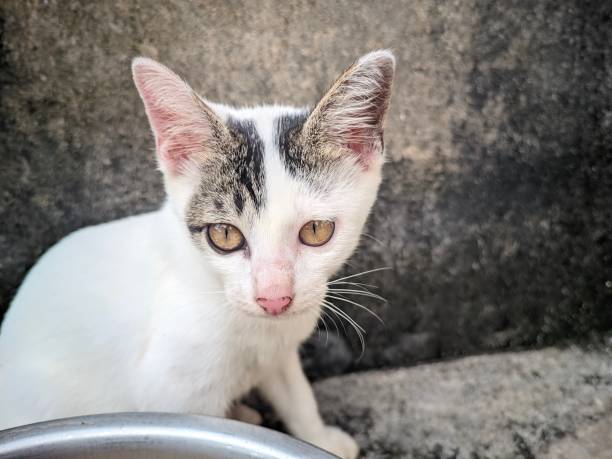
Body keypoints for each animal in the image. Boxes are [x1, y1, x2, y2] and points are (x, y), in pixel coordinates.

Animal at [0, 51, 396, 459]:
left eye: (316, 231)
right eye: (224, 235)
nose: (273, 298)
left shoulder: (279, 349)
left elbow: (295, 392)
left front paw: (317, 436)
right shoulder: (171, 395)